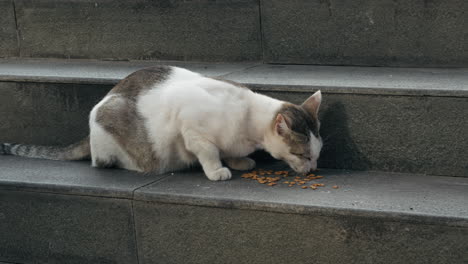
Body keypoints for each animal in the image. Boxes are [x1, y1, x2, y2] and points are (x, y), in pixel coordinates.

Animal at [0, 66, 322, 182]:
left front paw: (239, 161)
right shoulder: (192, 129)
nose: (313, 168)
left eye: (317, 155)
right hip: (112, 124)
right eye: (303, 155)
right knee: (103, 161)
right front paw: (218, 170)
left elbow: (228, 150)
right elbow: (209, 153)